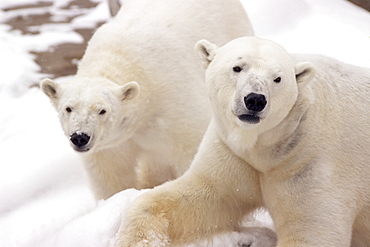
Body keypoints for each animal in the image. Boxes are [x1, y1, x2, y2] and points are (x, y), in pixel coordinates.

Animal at [41, 0, 254, 199]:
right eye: (68, 108)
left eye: (102, 110)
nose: (80, 137)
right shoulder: (111, 144)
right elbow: (110, 172)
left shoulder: (173, 101)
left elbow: (189, 149)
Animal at [115, 37, 370, 247]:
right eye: (237, 67)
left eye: (278, 78)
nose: (255, 99)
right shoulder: (234, 153)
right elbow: (202, 195)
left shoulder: (308, 164)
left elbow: (311, 230)